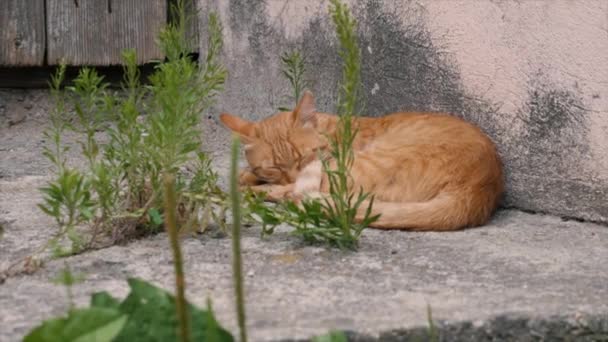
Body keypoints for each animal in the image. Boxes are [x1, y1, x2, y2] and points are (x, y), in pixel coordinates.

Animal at [218, 91, 504, 231]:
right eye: (274, 167)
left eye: (306, 156)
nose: (293, 175)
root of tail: (476, 191)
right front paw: (252, 174)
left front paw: (250, 180)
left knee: (295, 196)